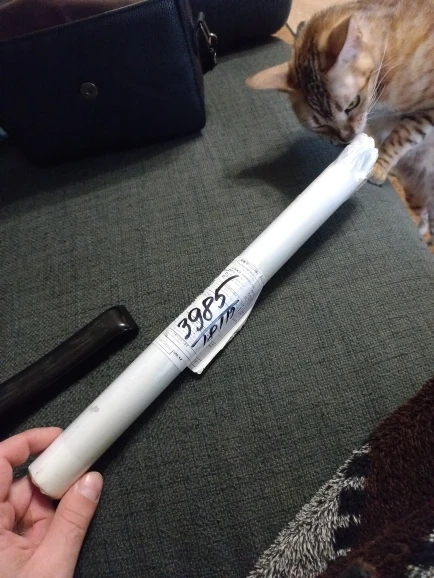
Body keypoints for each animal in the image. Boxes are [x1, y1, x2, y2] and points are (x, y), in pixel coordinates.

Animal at [246, 0, 434, 242]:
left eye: (352, 103)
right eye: (321, 125)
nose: (346, 137)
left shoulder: (428, 110)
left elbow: (402, 136)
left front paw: (378, 163)